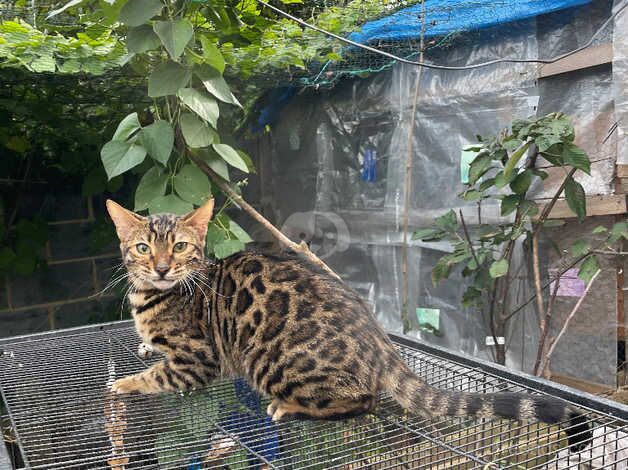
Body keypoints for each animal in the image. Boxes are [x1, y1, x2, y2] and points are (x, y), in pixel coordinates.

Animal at [105, 198, 592, 452]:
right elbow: (150, 351)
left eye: (180, 247)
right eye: (144, 247)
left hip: (269, 361)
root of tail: (380, 342)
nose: (162, 268)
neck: (150, 296)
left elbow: (159, 376)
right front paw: (142, 349)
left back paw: (289, 407)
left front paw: (124, 383)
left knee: (363, 401)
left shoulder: (198, 358)